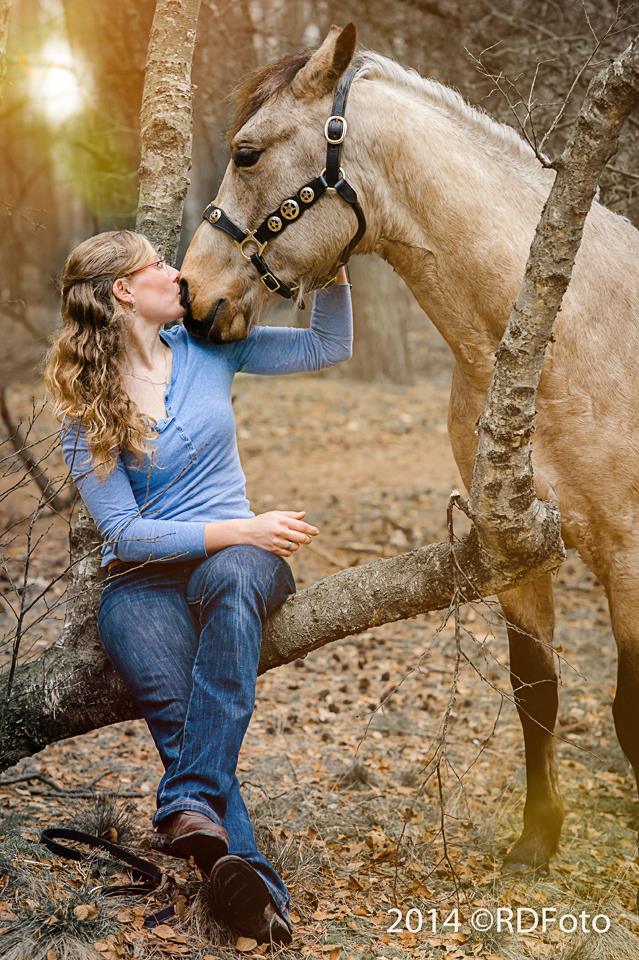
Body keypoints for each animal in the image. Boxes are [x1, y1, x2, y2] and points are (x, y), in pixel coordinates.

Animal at [178, 22, 639, 872]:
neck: (563, 333)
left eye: (247, 153)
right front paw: (536, 838)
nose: (193, 294)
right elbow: (535, 691)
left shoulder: (628, 552)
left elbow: (627, 710)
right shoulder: (514, 551)